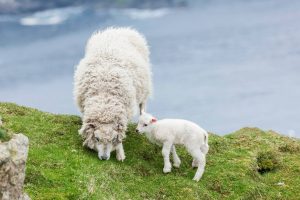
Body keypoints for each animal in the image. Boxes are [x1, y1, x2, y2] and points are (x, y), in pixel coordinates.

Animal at [73, 27, 152, 161]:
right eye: (97, 138)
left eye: (113, 139)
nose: (104, 158)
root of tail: (120, 29)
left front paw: (120, 154)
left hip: (144, 88)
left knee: (143, 106)